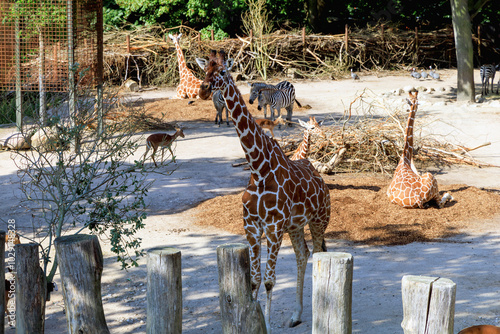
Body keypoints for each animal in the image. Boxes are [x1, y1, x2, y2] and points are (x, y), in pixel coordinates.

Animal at [196, 50, 332, 332]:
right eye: (205, 71)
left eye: (222, 72)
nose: (203, 90)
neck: (259, 168)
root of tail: (321, 179)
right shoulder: (251, 225)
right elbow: (255, 280)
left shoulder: (273, 226)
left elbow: (270, 280)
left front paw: (267, 324)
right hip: (295, 226)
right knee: (303, 254)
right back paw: (296, 315)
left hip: (319, 220)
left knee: (319, 254)